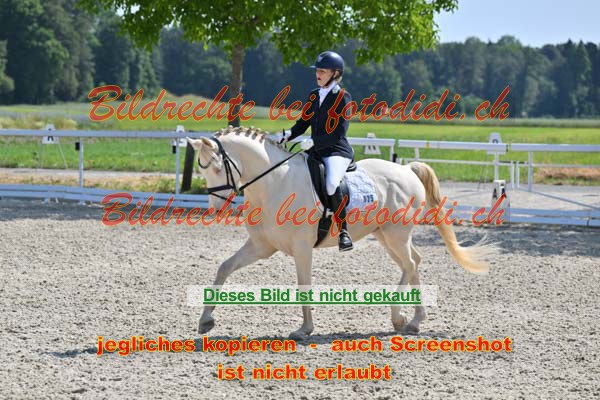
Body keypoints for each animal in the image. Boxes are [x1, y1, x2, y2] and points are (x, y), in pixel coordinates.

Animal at [187, 126, 496, 340]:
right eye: (203, 170)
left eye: (217, 168)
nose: (216, 208)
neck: (275, 181)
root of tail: (407, 169)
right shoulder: (262, 246)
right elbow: (224, 268)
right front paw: (205, 321)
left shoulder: (301, 248)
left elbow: (304, 286)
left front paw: (304, 329)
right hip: (386, 235)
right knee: (414, 263)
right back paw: (409, 320)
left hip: (395, 234)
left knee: (410, 264)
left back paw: (404, 319)